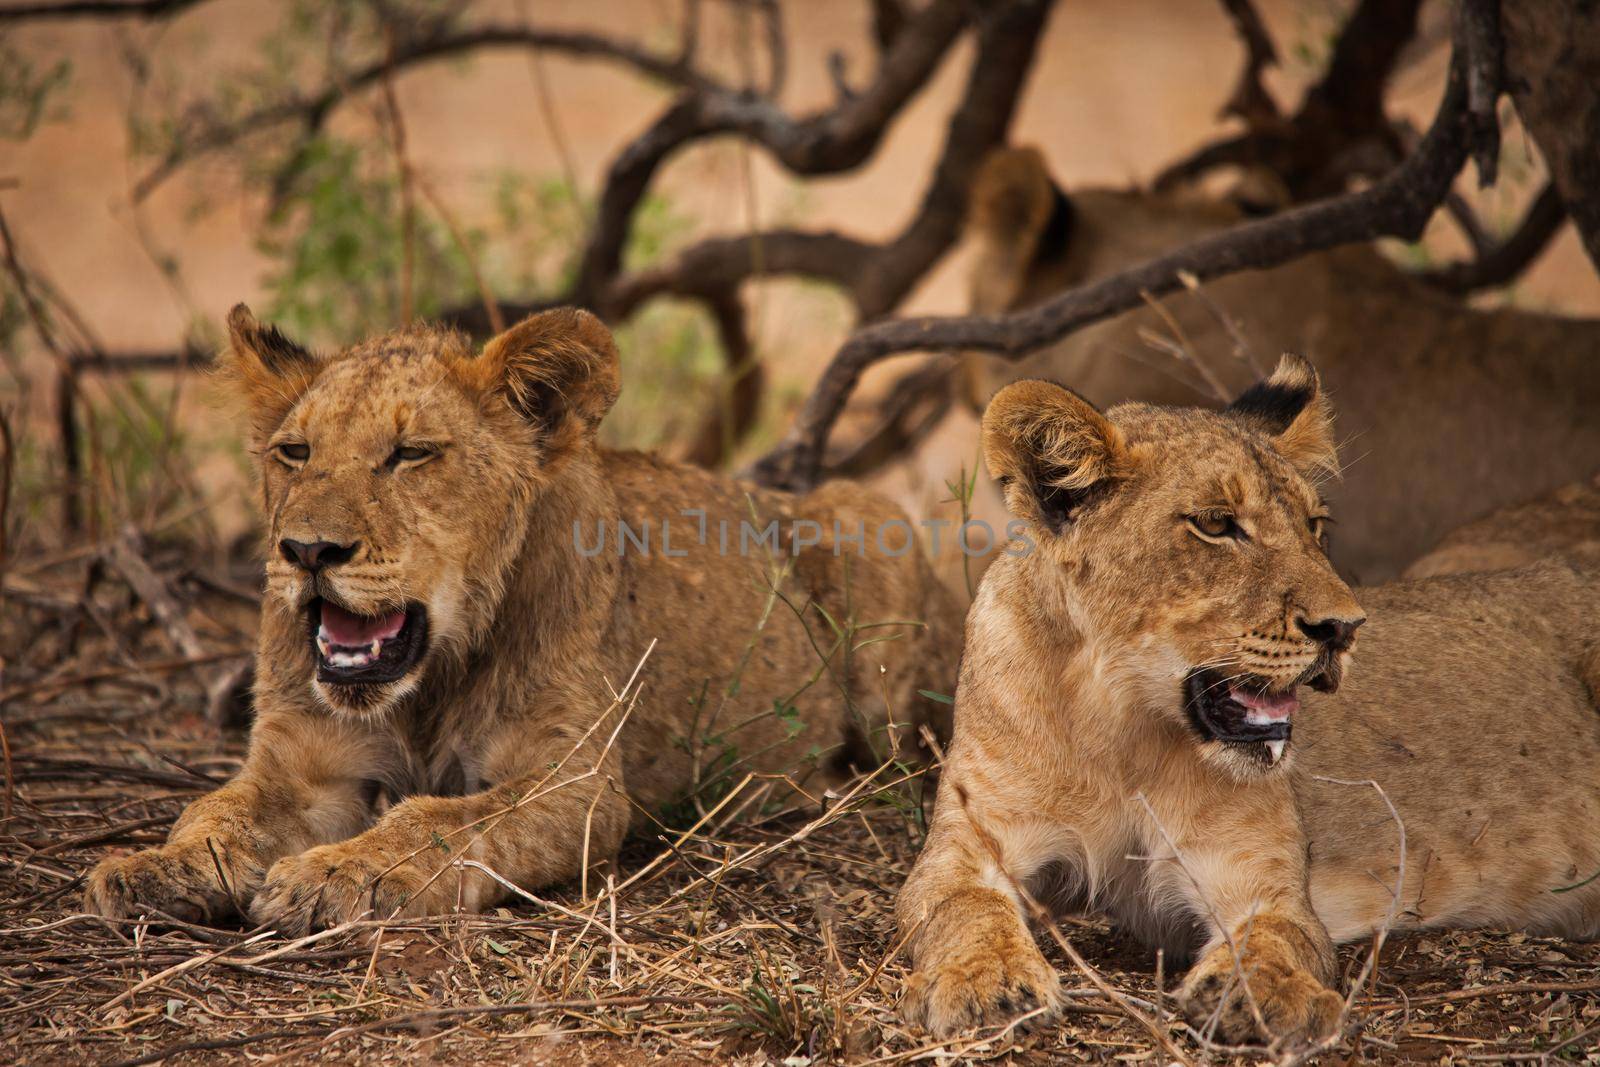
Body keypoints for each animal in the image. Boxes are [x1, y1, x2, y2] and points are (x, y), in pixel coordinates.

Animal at [90, 307, 960, 934]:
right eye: (295, 452)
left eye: (411, 453)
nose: (306, 550)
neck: (429, 682)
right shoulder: (301, 767)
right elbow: (214, 810)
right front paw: (149, 868)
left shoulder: (577, 784)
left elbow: (437, 818)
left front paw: (333, 873)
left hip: (863, 520)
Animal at [896, 356, 1600, 1043]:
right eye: (1216, 524)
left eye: (1315, 526)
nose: (1344, 628)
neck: (1118, 726)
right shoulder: (965, 845)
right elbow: (966, 907)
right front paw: (987, 982)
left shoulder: (1259, 877)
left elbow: (1274, 935)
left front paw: (1267, 997)